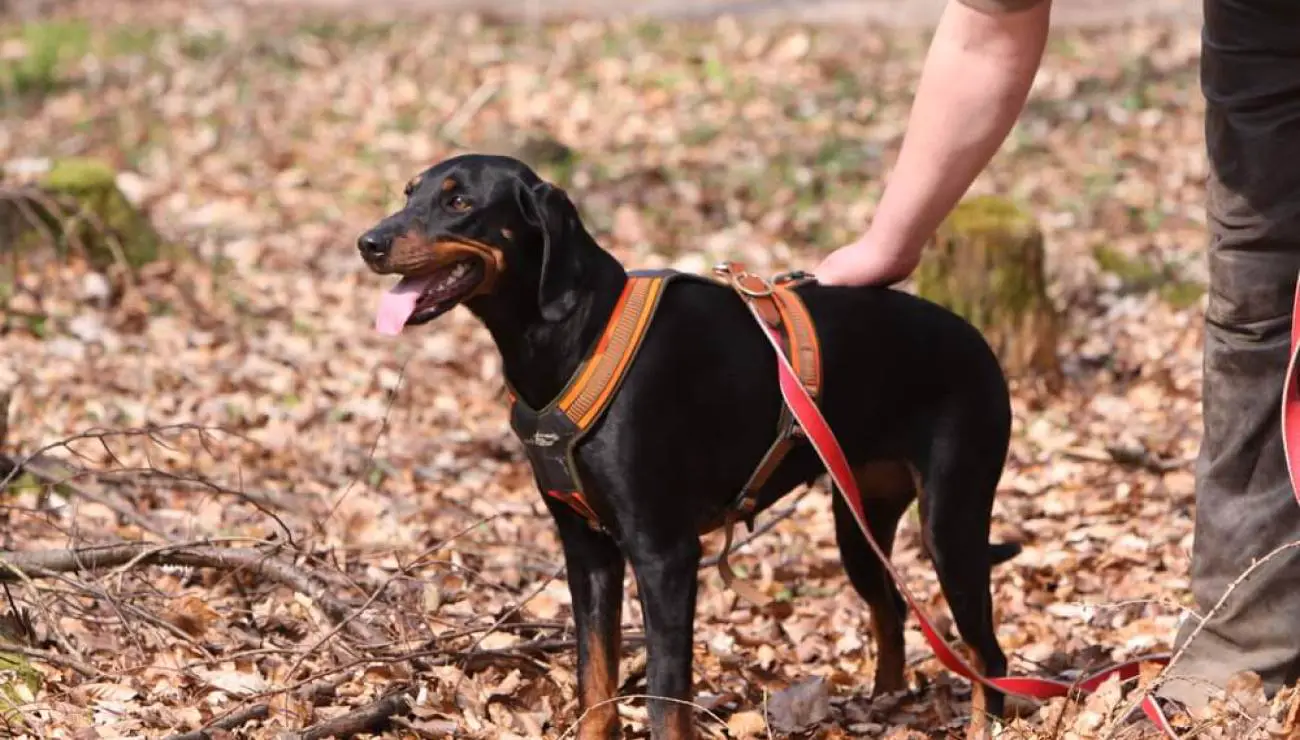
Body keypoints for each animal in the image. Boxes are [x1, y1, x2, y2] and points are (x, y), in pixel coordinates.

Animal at [361, 152, 1019, 733]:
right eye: (410, 192)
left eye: (459, 202)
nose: (368, 242)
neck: (577, 336)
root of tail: (980, 341)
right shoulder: (587, 550)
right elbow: (595, 685)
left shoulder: (665, 555)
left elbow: (664, 699)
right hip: (858, 522)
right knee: (893, 609)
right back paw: (883, 702)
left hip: (950, 525)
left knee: (987, 656)